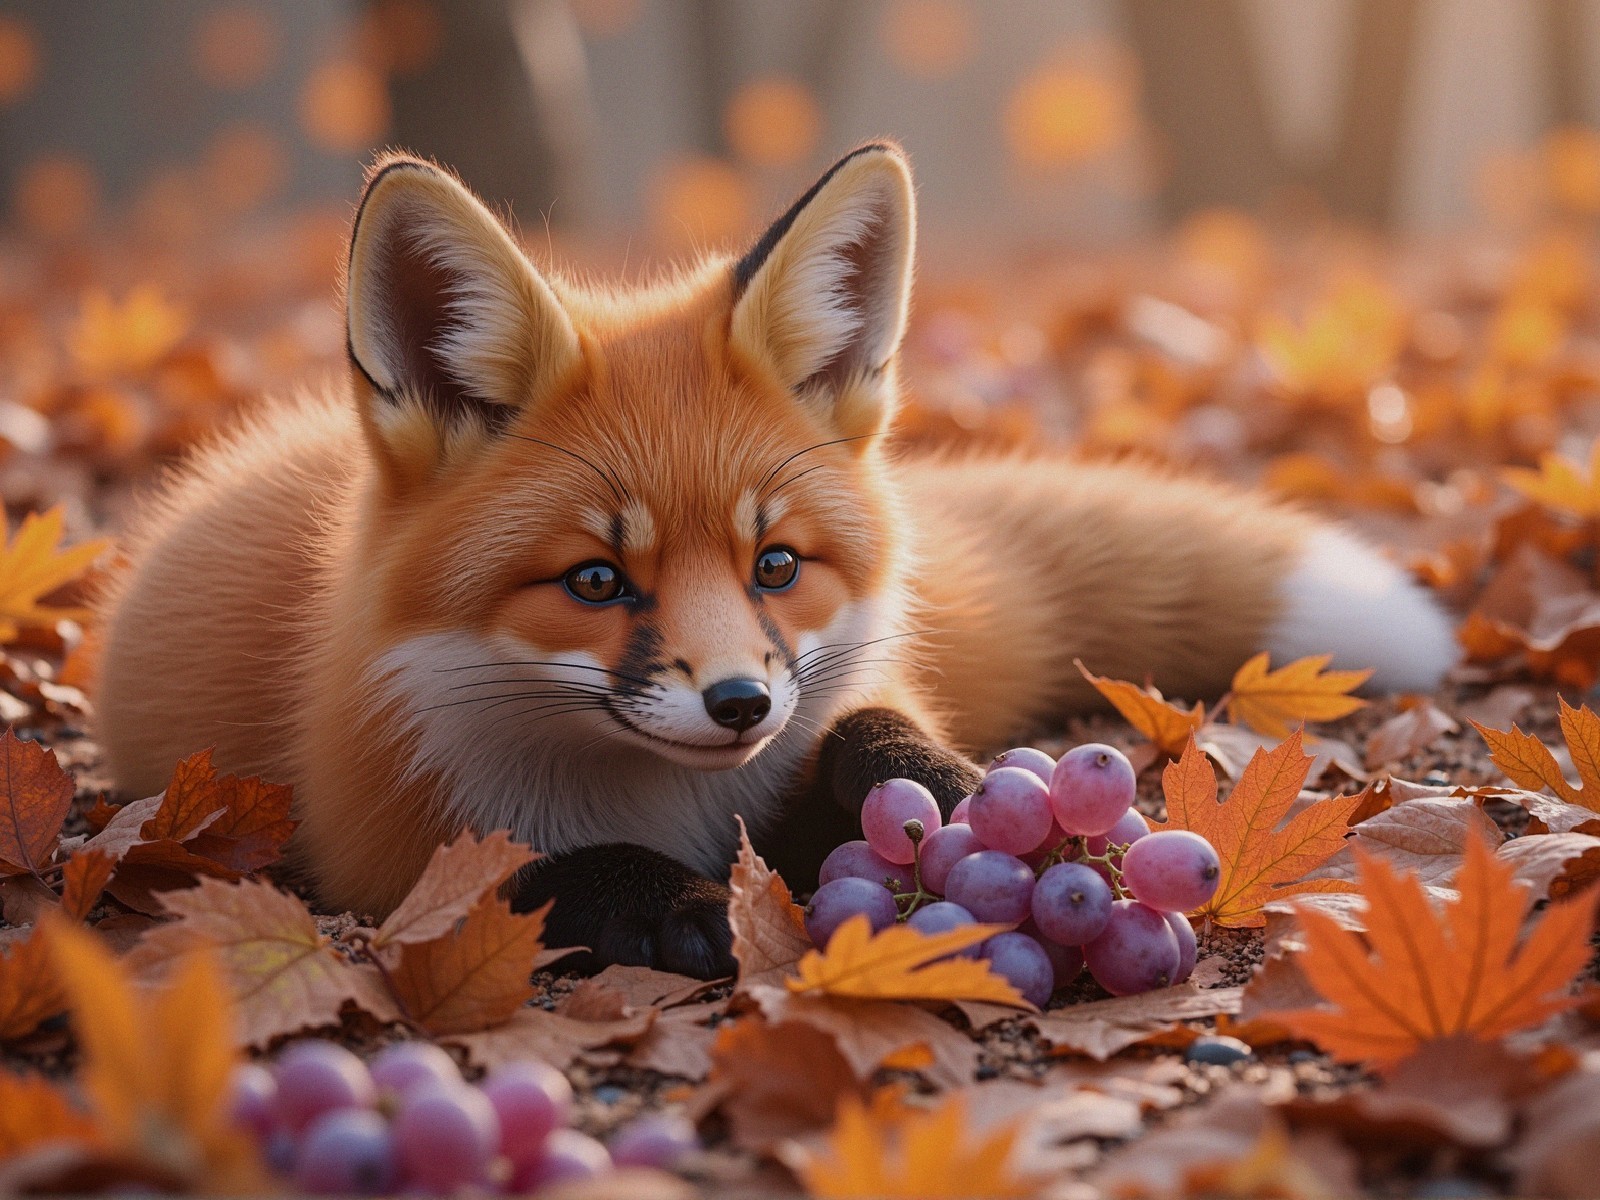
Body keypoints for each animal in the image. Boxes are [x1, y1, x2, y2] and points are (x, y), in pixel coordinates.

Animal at [93, 143, 1456, 978]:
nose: (741, 702)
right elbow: (549, 871)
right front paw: (682, 908)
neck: (674, 800)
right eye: (596, 581)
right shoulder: (387, 847)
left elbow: (869, 738)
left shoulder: (805, 743)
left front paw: (960, 796)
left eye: (778, 566)